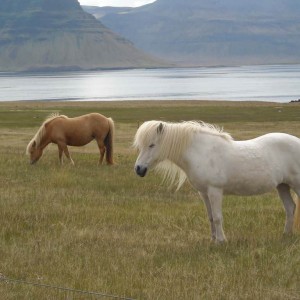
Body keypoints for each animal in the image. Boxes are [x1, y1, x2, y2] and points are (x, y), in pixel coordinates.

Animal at [134, 120, 300, 243]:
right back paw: (286, 235)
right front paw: (213, 240)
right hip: (282, 186)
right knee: (290, 208)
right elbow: (211, 217)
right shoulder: (204, 193)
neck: (202, 153)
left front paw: (221, 241)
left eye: (152, 145)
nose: (138, 169)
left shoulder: (215, 191)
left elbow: (218, 217)